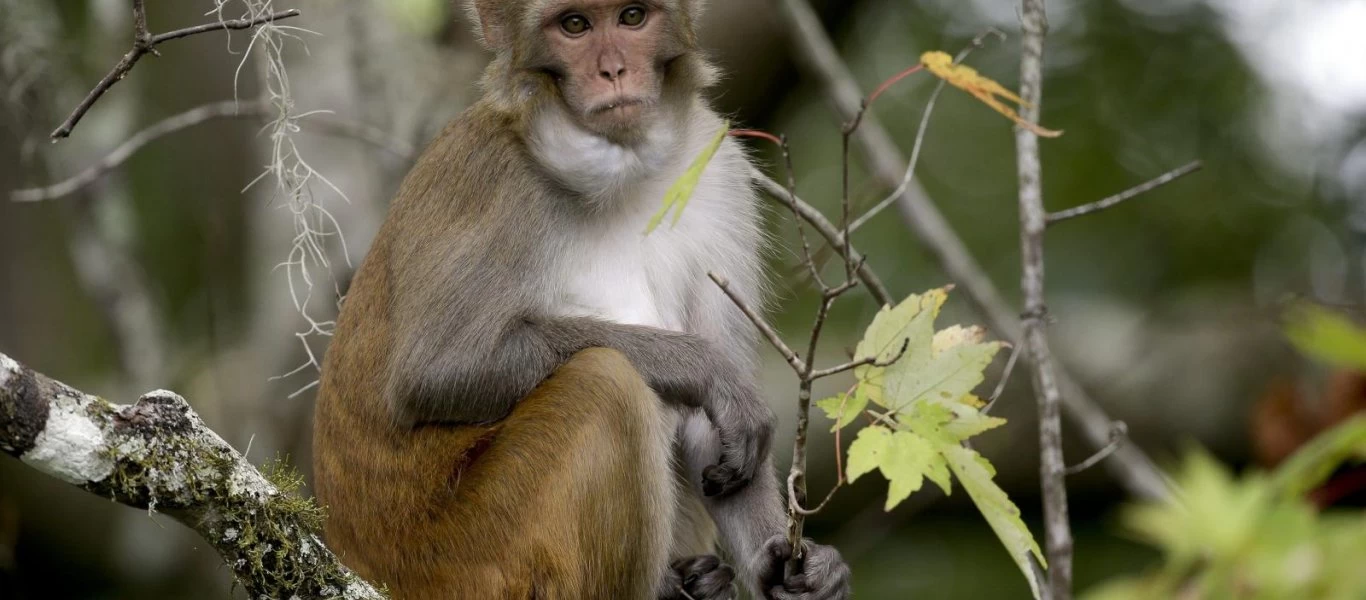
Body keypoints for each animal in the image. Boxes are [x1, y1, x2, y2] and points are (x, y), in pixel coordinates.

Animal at [316, 0, 852, 598]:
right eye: (574, 25)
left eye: (632, 17)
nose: (613, 70)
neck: (625, 171)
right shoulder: (492, 178)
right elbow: (436, 373)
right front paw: (706, 368)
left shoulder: (718, 173)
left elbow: (713, 440)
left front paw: (793, 571)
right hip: (466, 557)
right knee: (606, 383)